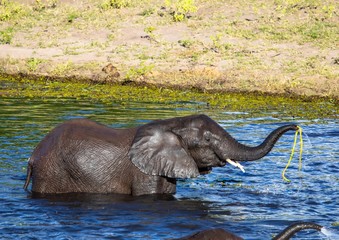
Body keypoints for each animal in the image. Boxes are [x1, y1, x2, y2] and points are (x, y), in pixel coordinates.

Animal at [23, 114, 298, 195]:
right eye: (208, 140)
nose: (296, 127)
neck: (172, 124)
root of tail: (33, 155)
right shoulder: (143, 172)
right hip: (52, 171)